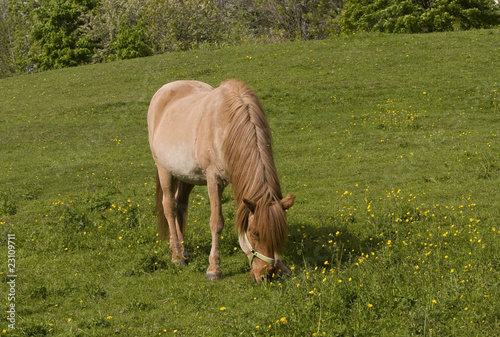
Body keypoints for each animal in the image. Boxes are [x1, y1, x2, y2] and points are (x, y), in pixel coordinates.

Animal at [149, 79, 296, 280]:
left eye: (279, 235)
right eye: (255, 233)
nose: (266, 274)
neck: (228, 125)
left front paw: (282, 266)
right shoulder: (214, 179)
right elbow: (216, 222)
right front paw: (214, 269)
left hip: (186, 175)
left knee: (180, 205)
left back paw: (182, 249)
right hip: (163, 168)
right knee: (169, 207)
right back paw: (177, 256)